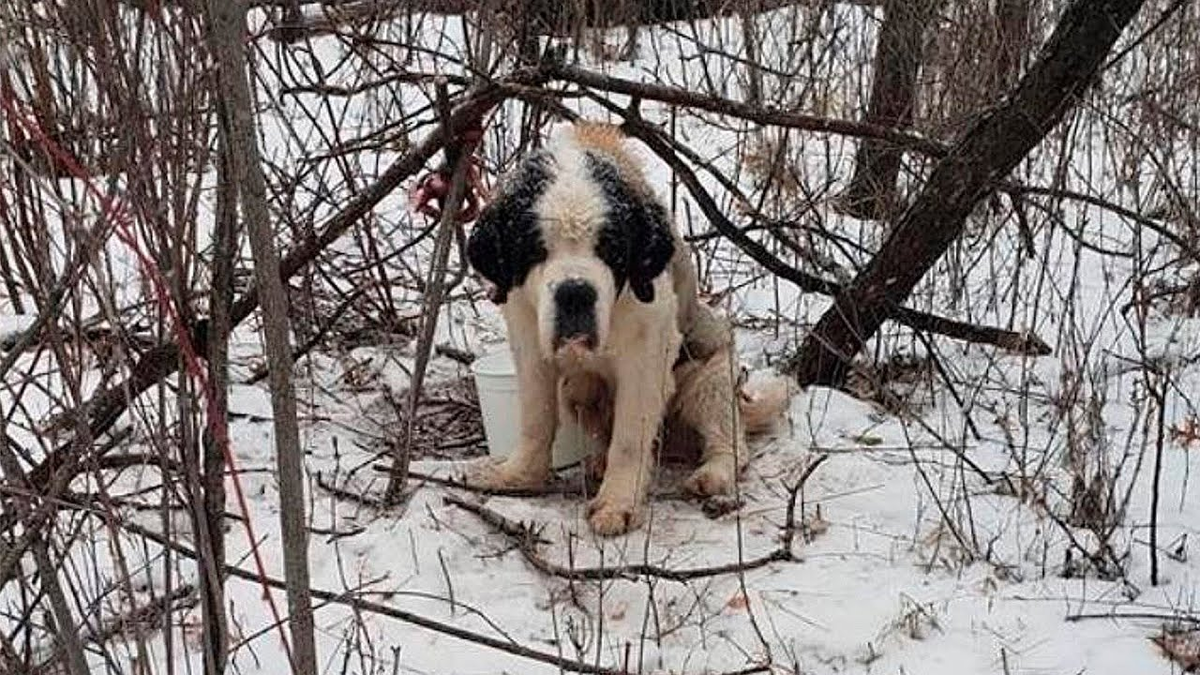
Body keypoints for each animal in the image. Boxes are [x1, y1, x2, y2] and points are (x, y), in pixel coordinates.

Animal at [463, 119, 792, 530]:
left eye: (610, 249)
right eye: (536, 249)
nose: (575, 292)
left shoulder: (646, 354)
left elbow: (630, 436)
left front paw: (617, 504)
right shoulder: (527, 334)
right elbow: (536, 416)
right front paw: (517, 475)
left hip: (711, 373)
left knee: (729, 438)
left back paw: (711, 474)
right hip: (580, 389)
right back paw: (597, 462)